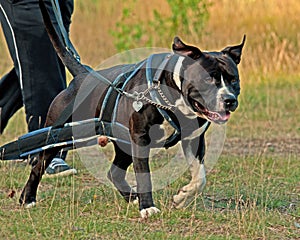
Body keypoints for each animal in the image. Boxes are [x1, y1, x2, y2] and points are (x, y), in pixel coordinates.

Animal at [20, 0, 246, 219]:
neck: (172, 96)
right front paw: (148, 208)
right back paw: (27, 199)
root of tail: (83, 76)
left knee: (114, 173)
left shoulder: (193, 138)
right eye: (208, 79)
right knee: (38, 165)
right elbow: (144, 175)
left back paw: (131, 197)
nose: (229, 100)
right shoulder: (140, 137)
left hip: (122, 142)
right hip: (59, 136)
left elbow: (200, 176)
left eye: (234, 80)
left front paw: (183, 197)